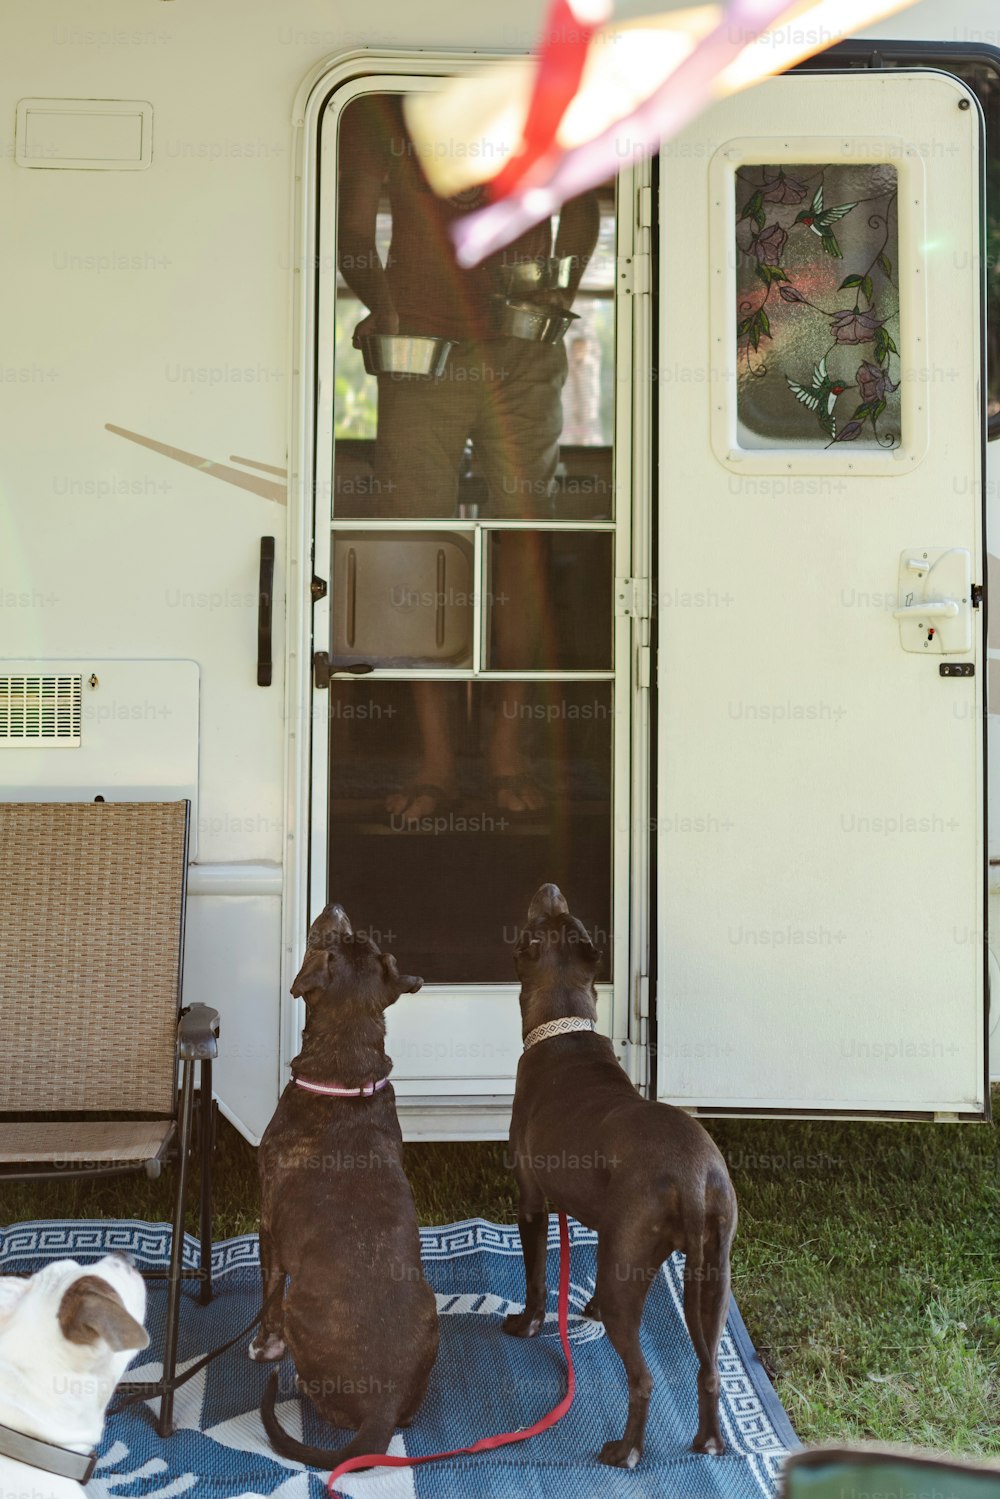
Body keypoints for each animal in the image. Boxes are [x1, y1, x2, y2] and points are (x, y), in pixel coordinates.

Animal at [250, 899, 437, 1463]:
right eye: (361, 944)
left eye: (325, 941)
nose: (335, 905)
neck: (345, 1072)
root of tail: (383, 1405)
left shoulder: (267, 1226)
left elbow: (266, 1290)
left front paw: (263, 1346)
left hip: (299, 1313)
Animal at [509, 881, 734, 1469]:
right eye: (566, 916)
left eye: (539, 922)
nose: (551, 886)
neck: (563, 1025)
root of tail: (692, 1179)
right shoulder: (597, 1219)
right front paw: (580, 1308)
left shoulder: (531, 1199)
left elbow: (537, 1276)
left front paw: (526, 1324)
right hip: (714, 1275)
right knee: (709, 1370)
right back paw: (709, 1441)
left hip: (632, 1280)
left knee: (644, 1379)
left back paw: (627, 1450)